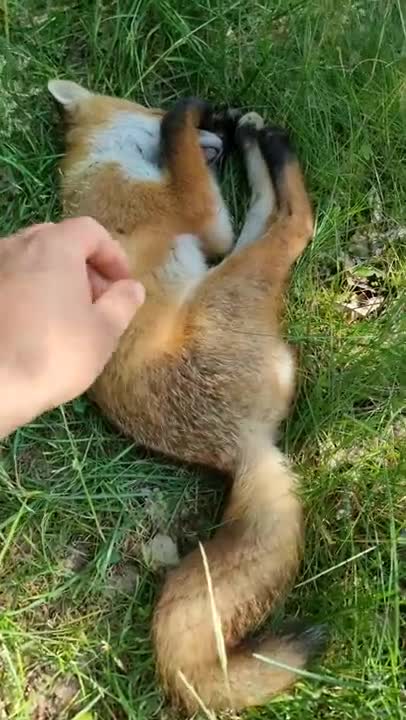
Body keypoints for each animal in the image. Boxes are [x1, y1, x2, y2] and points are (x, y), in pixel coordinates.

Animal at [48, 78, 326, 713]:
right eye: (146, 107)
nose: (217, 137)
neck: (98, 170)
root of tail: (245, 448)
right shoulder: (193, 213)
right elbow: (187, 163)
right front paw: (191, 113)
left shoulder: (203, 220)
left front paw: (230, 124)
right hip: (232, 279)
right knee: (293, 223)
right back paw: (274, 149)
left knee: (264, 217)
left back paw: (257, 140)